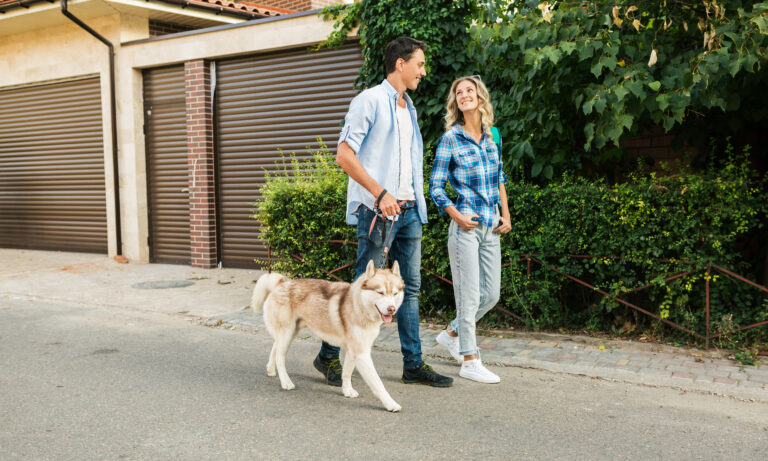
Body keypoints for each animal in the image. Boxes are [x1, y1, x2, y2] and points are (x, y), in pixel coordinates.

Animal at [252, 260, 408, 412]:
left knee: (275, 348)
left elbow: (347, 373)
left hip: (290, 334)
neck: (359, 306)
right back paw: (285, 382)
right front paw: (390, 404)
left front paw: (347, 390)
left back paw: (271, 370)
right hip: (287, 333)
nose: (392, 309)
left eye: (395, 293)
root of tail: (283, 281)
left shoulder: (353, 351)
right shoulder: (361, 354)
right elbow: (378, 384)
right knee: (280, 357)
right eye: (380, 292)